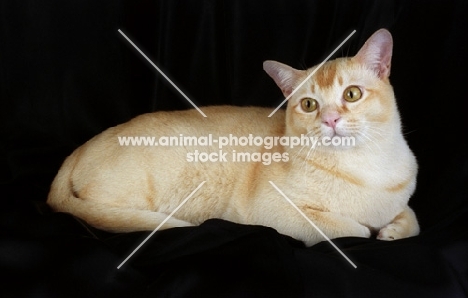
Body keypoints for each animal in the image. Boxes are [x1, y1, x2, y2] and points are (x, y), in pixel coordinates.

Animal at [48, 29, 420, 246]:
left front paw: (393, 229)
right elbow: (354, 229)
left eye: (352, 94)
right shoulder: (275, 212)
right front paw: (372, 230)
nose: (330, 119)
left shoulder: (400, 200)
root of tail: (76, 151)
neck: (365, 168)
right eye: (309, 104)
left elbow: (411, 219)